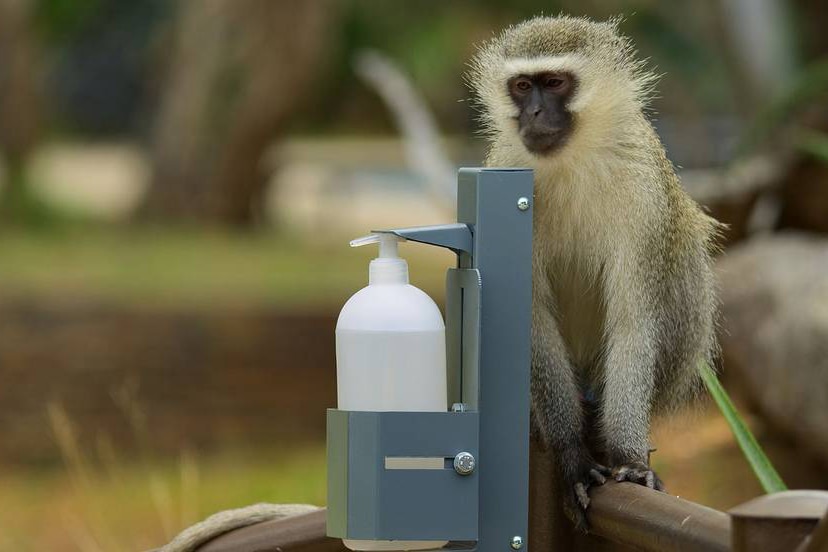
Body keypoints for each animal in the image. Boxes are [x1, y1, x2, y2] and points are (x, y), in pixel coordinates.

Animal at [468, 15, 720, 528]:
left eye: (554, 83)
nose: (533, 114)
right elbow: (531, 320)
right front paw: (571, 455)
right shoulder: (505, 174)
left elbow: (633, 321)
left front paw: (630, 459)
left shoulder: (642, 187)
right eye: (521, 86)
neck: (571, 159)